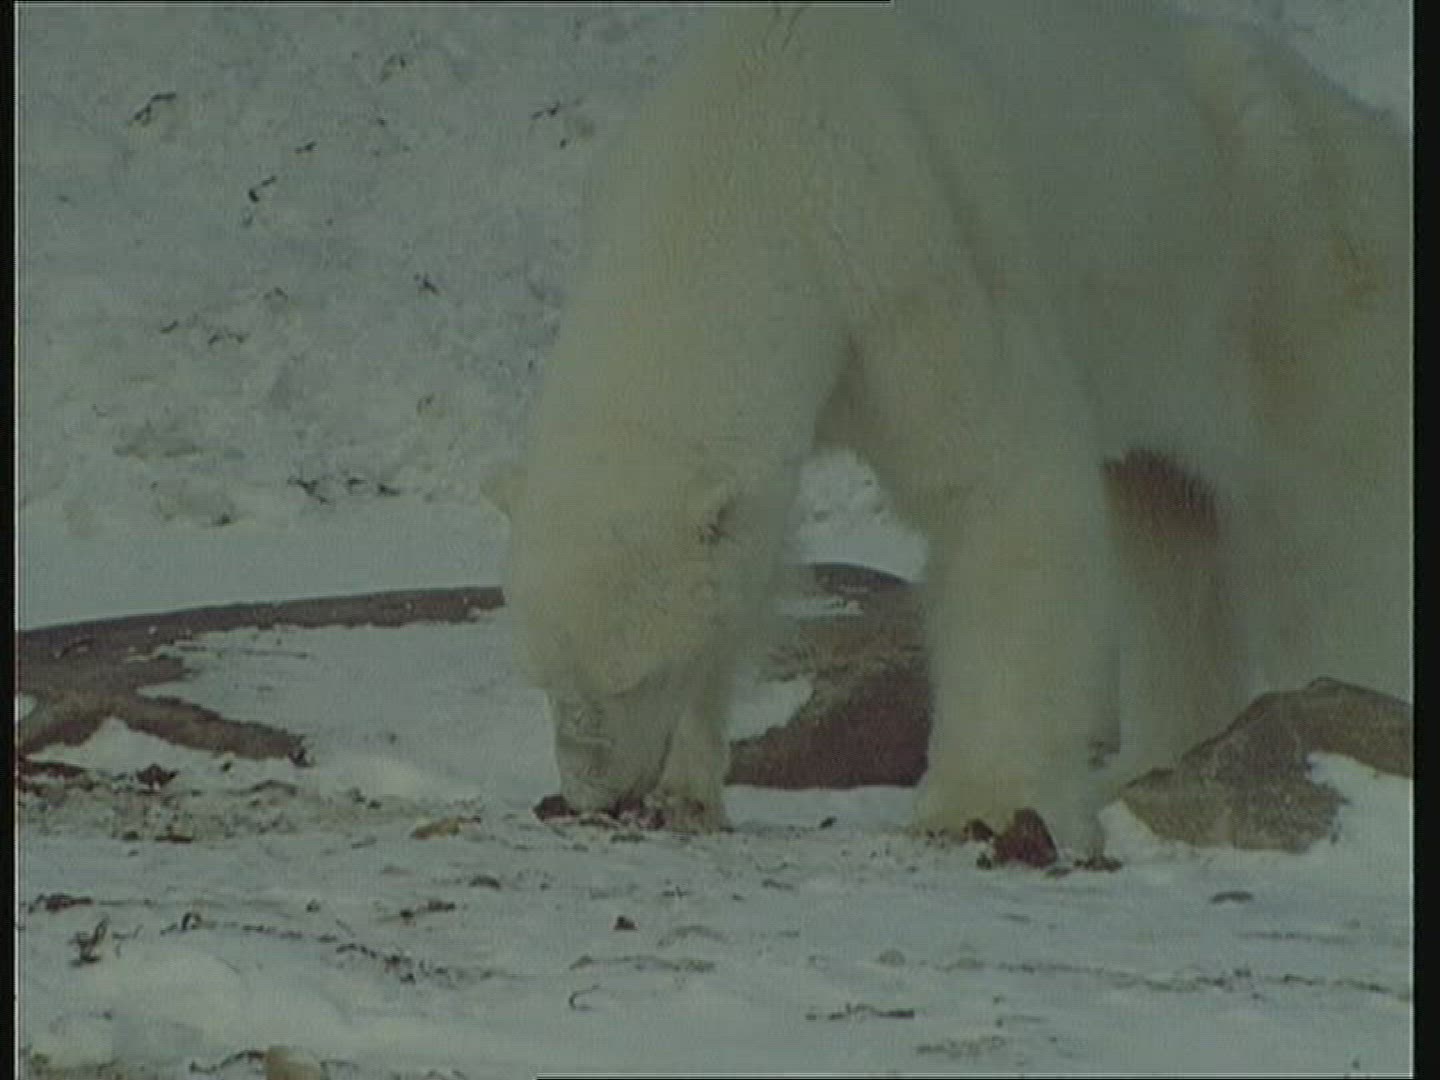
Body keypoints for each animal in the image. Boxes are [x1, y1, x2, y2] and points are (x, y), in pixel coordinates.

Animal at [501, 0, 1411, 852]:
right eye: (549, 680)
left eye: (635, 676)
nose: (592, 793)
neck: (753, 139)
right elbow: (748, 558)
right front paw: (680, 794)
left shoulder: (905, 246)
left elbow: (998, 479)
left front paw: (988, 807)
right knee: (1167, 526)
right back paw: (1151, 763)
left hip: (1294, 283)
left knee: (1330, 545)